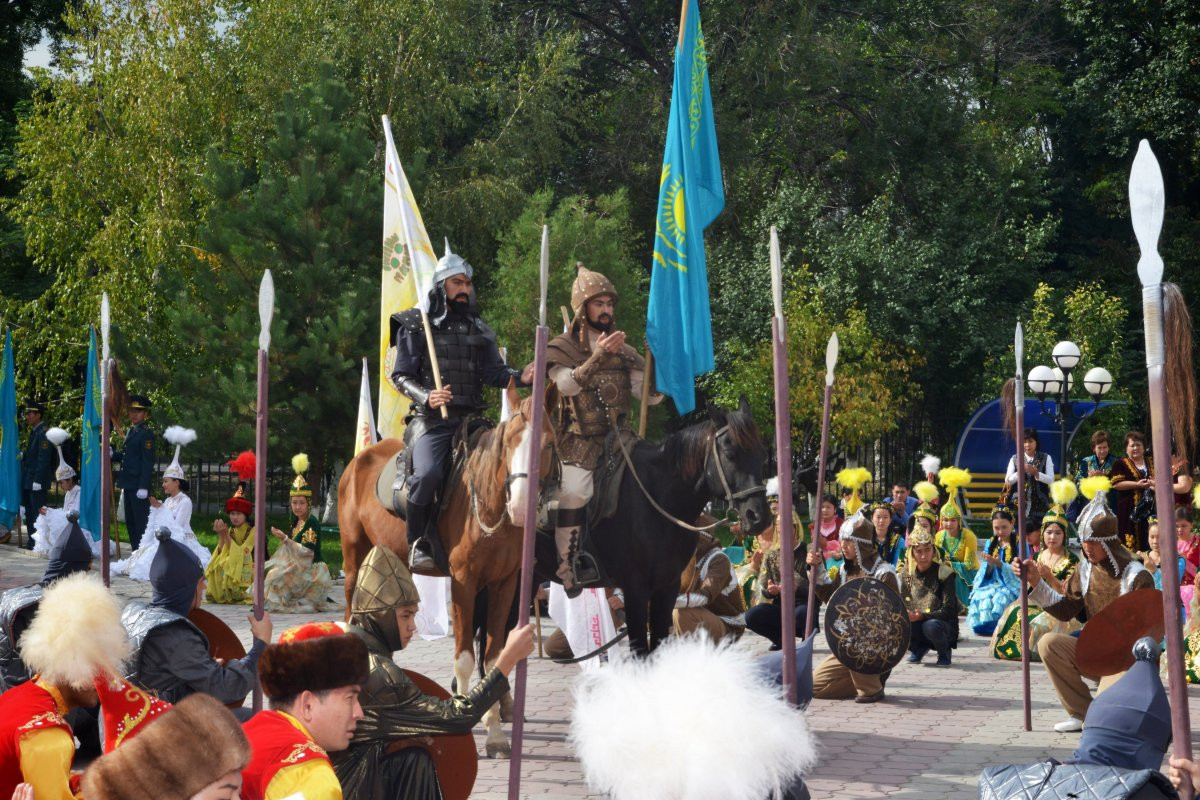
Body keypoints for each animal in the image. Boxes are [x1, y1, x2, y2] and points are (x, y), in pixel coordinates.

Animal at [340, 383, 554, 762]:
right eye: (509, 441)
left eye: (547, 444)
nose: (521, 507)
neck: (488, 506)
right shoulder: (464, 582)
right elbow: (466, 658)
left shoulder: (504, 585)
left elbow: (494, 655)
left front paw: (495, 735)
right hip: (354, 555)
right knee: (351, 607)